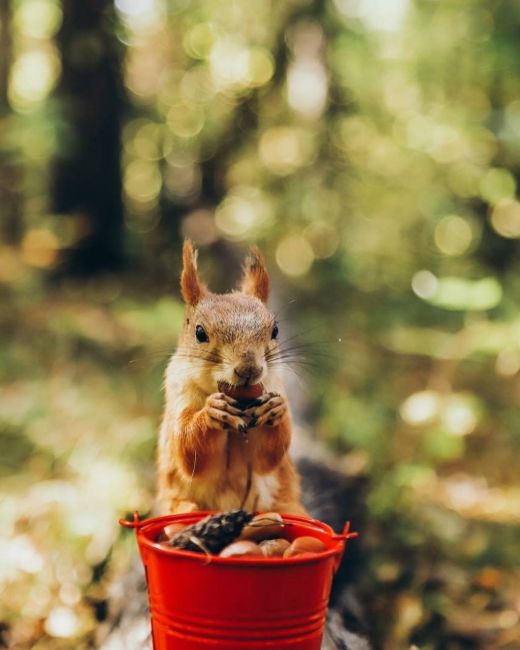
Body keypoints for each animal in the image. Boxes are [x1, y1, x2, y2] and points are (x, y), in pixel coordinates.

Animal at [156, 240, 306, 512]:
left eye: (275, 330)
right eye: (200, 333)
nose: (249, 369)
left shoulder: (274, 382)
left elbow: (268, 457)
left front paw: (275, 409)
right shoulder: (178, 390)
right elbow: (189, 450)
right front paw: (212, 413)